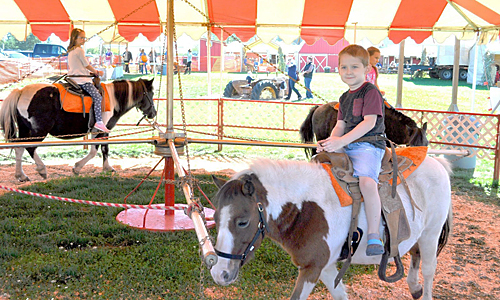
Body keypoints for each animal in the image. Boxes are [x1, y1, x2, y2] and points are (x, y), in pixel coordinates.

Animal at [0, 78, 156, 182]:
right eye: (152, 93)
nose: (153, 113)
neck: (113, 99)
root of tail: (21, 91)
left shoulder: (104, 131)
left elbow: (105, 149)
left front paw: (107, 168)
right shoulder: (98, 130)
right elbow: (95, 150)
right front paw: (77, 168)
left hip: (25, 129)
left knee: (19, 147)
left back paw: (21, 175)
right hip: (39, 130)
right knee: (30, 147)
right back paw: (42, 170)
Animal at [211, 158, 454, 298]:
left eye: (242, 222)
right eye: (215, 216)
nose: (219, 272)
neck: (306, 209)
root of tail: (437, 164)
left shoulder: (312, 269)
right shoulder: (325, 267)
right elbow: (339, 295)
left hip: (431, 235)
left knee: (429, 269)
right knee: (415, 254)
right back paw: (414, 287)